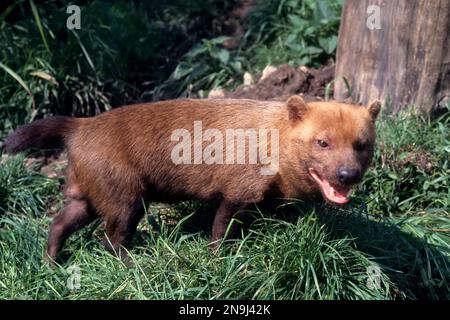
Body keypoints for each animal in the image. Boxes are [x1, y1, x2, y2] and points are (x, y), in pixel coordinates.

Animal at [3, 97, 380, 260]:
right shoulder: (236, 192)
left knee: (58, 223)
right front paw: (218, 261)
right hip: (126, 199)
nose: (347, 174)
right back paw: (135, 264)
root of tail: (79, 126)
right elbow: (219, 231)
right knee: (109, 241)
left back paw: (51, 263)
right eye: (322, 141)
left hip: (89, 196)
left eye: (361, 144)